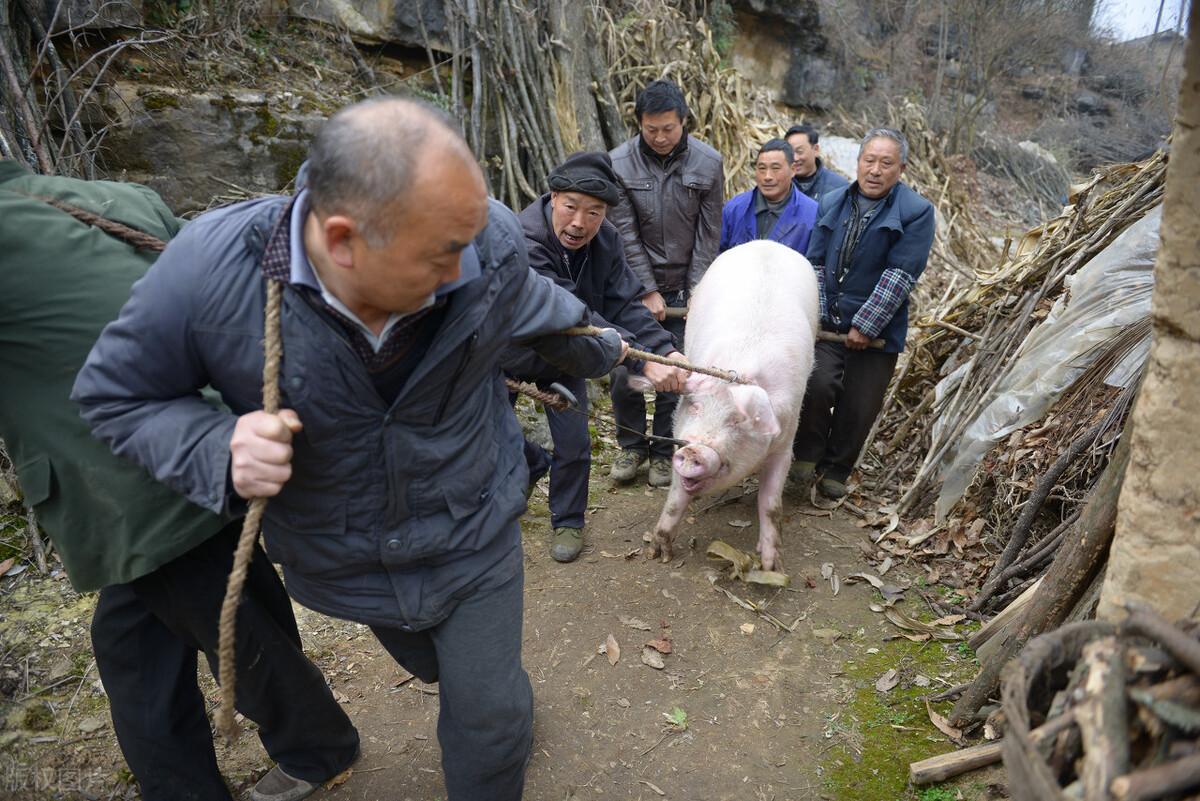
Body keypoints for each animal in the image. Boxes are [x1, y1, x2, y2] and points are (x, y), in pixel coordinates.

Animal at [633, 237, 820, 568]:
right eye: (695, 407)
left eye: (736, 420)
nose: (694, 450)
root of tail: (767, 242)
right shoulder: (680, 435)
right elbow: (675, 498)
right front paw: (659, 553)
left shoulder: (785, 444)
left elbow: (771, 505)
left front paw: (771, 566)